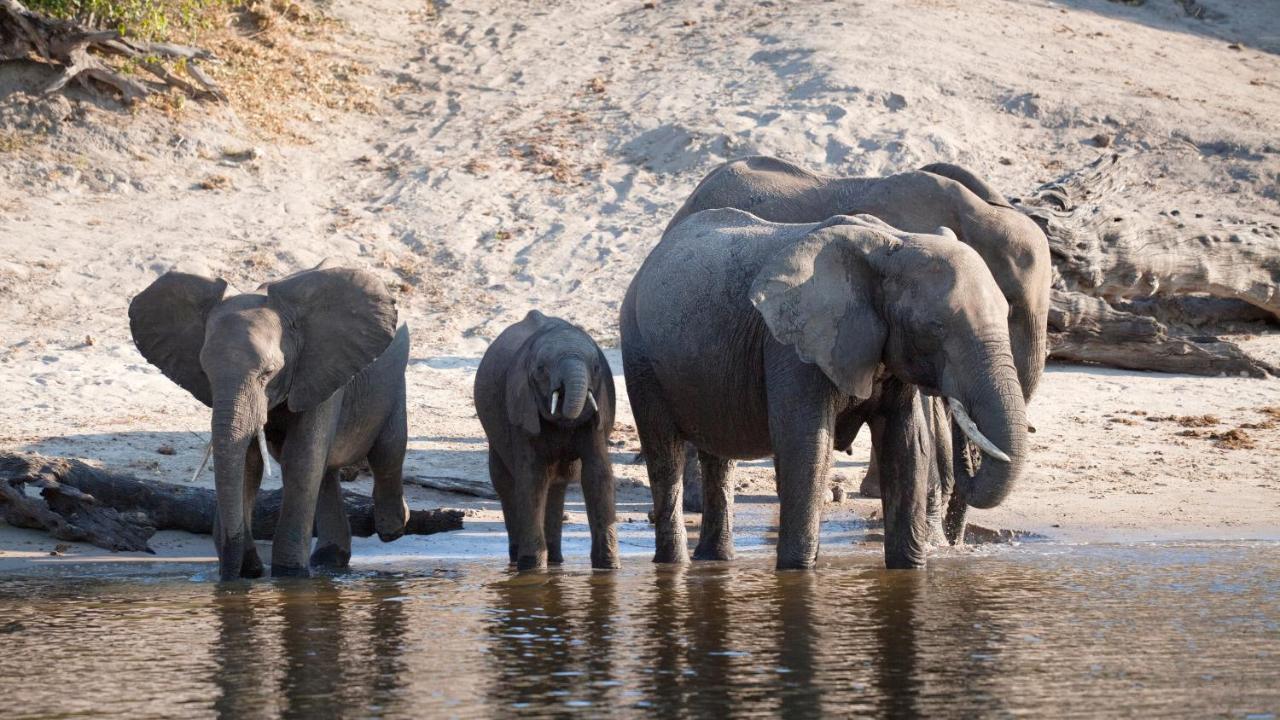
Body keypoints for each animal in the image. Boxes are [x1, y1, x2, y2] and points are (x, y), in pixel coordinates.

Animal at [127, 260, 407, 579]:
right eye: (205, 372)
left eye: (269, 372)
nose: (229, 577)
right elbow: (249, 464)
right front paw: (250, 571)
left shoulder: (320, 369)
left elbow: (300, 459)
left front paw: (289, 575)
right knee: (327, 472)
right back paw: (329, 559)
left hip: (394, 378)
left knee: (387, 451)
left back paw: (393, 528)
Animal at [478, 311, 622, 568]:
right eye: (541, 369)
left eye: (596, 367)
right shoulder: (521, 408)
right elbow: (532, 478)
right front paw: (531, 567)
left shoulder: (601, 405)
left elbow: (597, 474)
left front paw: (608, 567)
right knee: (506, 482)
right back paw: (518, 558)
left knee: (557, 483)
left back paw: (556, 561)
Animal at [619, 210, 1029, 568]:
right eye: (935, 326)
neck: (893, 244)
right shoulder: (791, 343)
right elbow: (807, 447)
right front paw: (798, 573)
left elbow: (907, 445)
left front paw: (908, 570)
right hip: (639, 354)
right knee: (664, 454)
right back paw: (674, 565)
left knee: (719, 456)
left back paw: (716, 560)